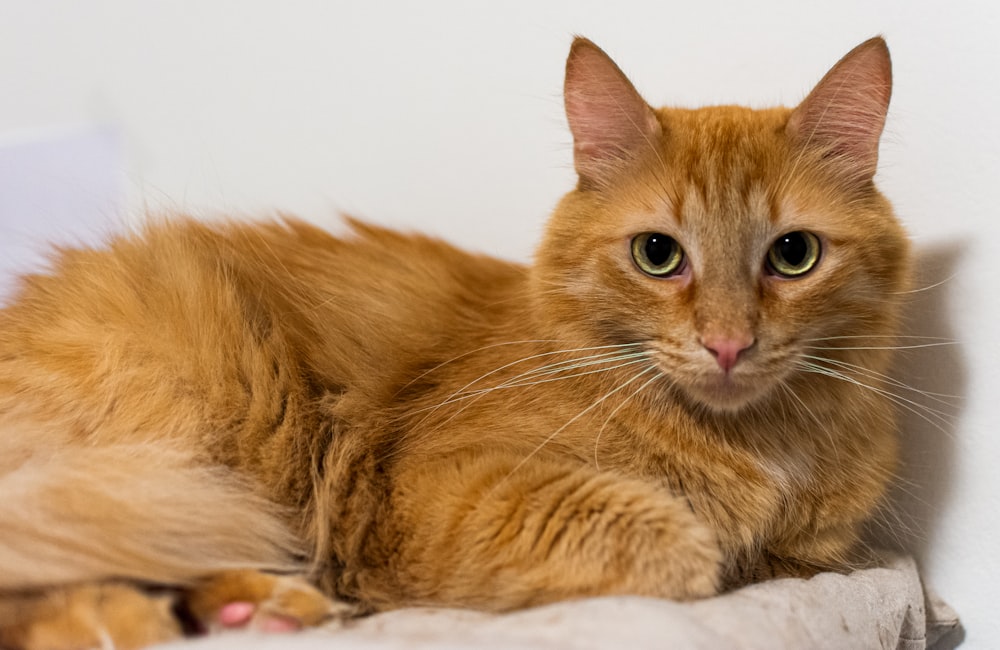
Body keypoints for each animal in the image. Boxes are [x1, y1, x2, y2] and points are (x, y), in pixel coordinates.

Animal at [0, 36, 908, 648]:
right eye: (658, 254)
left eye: (793, 255)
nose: (726, 344)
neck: (755, 443)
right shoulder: (430, 493)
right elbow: (684, 549)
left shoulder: (814, 558)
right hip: (175, 437)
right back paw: (127, 620)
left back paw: (248, 607)